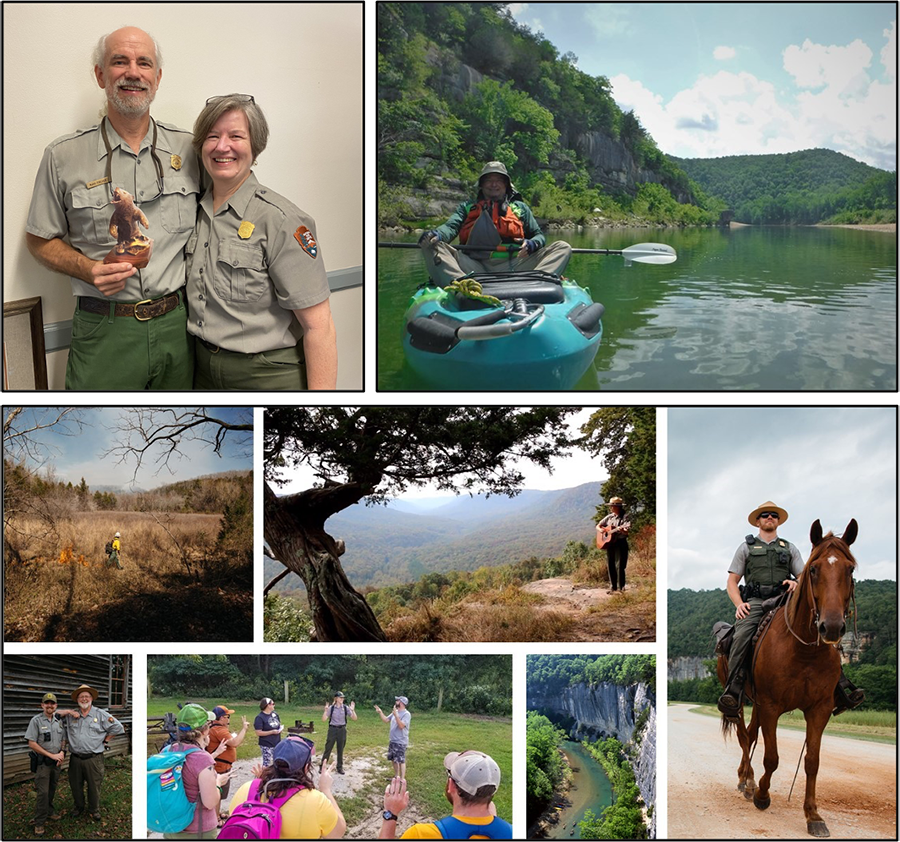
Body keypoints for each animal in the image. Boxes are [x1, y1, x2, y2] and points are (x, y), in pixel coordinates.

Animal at [716, 516, 856, 836]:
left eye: (850, 568)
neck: (803, 652)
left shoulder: (819, 709)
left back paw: (745, 778)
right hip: (740, 700)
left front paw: (813, 815)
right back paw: (749, 781)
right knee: (744, 735)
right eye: (814, 569)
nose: (831, 627)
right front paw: (762, 794)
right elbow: (772, 757)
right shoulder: (771, 705)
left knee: (750, 734)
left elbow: (813, 761)